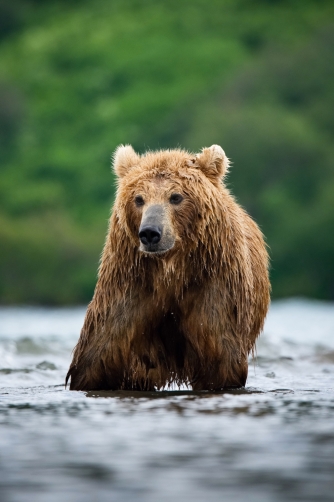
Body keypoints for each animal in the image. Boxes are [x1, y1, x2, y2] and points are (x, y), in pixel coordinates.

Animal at [66, 145, 270, 392]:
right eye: (139, 199)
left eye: (176, 197)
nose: (150, 233)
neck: (170, 269)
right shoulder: (129, 287)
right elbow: (98, 356)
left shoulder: (213, 288)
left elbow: (220, 361)